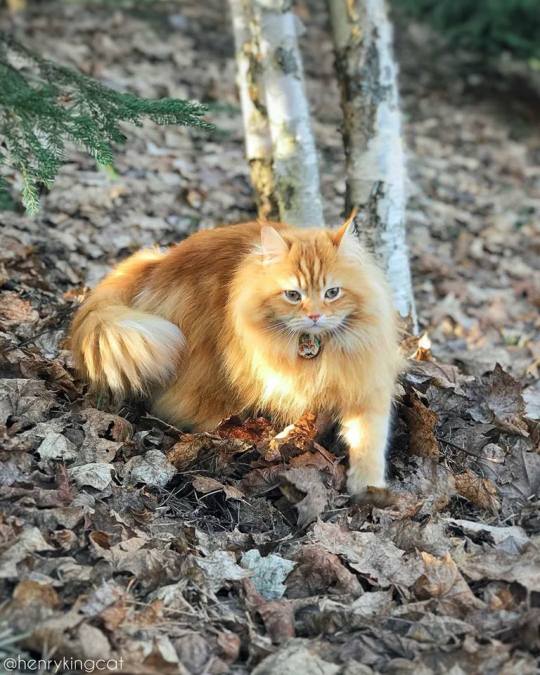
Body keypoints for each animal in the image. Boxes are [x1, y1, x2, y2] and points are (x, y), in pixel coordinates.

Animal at [70, 222, 400, 496]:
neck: (315, 353)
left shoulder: (366, 385)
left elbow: (369, 439)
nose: (315, 316)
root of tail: (156, 262)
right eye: (293, 295)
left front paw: (368, 486)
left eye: (332, 292)